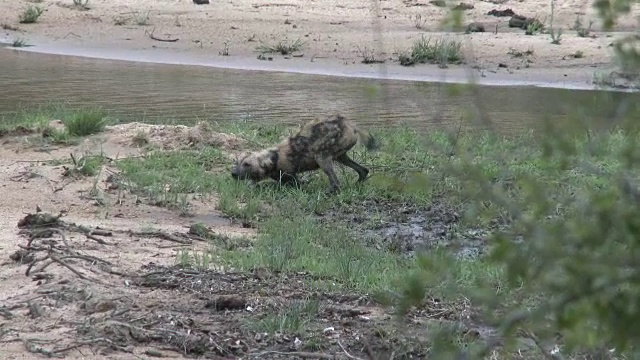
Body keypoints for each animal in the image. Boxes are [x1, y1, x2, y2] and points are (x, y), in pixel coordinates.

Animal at [231, 114, 378, 194]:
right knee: (363, 170)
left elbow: (291, 184)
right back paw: (356, 185)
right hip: (341, 157)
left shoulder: (291, 178)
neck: (274, 158)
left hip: (322, 158)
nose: (233, 173)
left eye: (247, 164)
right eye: (238, 162)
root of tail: (350, 125)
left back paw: (328, 192)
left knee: (336, 183)